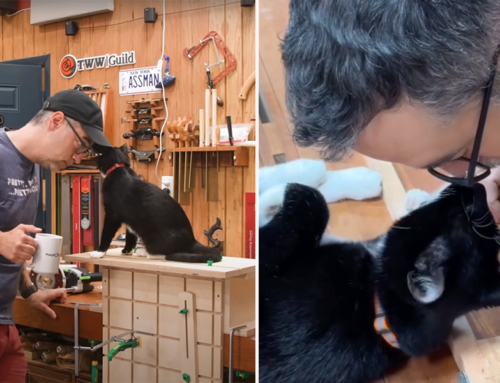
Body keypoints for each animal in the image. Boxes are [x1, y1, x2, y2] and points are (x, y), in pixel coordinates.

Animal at [93, 145, 222, 264]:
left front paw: (99, 252)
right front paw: (127, 250)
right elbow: (130, 235)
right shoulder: (130, 218)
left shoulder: (112, 214)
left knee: (166, 253)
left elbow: (106, 233)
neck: (118, 167)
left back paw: (146, 253)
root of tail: (192, 241)